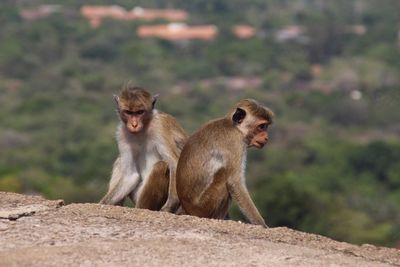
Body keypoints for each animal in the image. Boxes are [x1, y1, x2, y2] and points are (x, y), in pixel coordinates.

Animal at [99, 86, 188, 214]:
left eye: (140, 112)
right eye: (128, 112)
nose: (134, 124)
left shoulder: (159, 126)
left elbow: (174, 163)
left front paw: (170, 206)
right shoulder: (122, 133)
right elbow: (130, 175)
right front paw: (103, 203)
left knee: (160, 166)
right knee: (120, 161)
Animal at [177, 99, 274, 227]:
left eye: (265, 126)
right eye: (261, 126)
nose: (266, 137)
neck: (234, 127)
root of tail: (187, 209)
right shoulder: (235, 143)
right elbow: (235, 182)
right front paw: (261, 224)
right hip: (203, 207)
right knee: (223, 176)